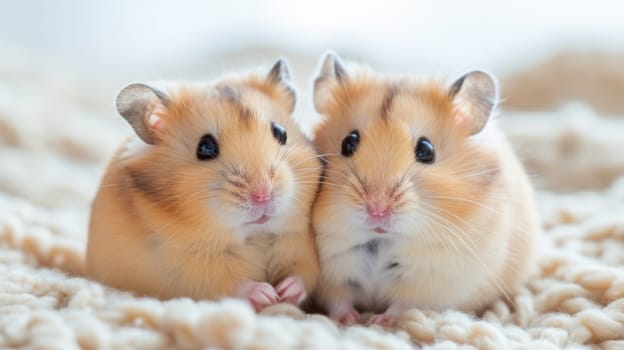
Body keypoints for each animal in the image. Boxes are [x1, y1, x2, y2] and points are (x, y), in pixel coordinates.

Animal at [86, 58, 322, 310]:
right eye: (205, 147)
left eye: (281, 132)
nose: (263, 195)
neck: (255, 235)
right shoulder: (192, 269)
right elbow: (233, 284)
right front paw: (267, 295)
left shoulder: (300, 243)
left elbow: (301, 274)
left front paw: (285, 292)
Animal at [312, 53, 540, 326]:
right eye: (348, 143)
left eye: (426, 150)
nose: (377, 210)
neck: (380, 239)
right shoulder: (331, 269)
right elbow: (339, 300)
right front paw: (348, 320)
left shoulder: (432, 279)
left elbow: (402, 305)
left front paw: (378, 321)